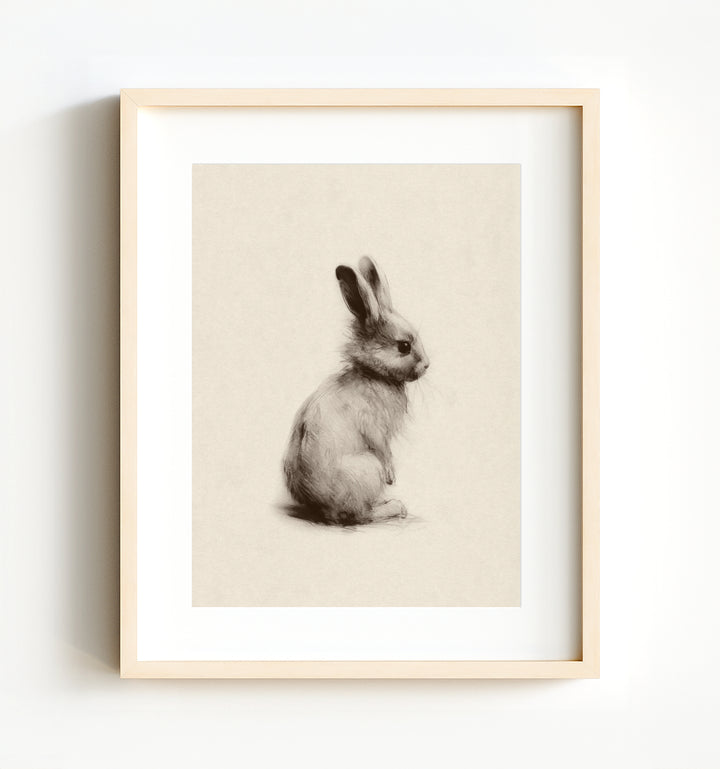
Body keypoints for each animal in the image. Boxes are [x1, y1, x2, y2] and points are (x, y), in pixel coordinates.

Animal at [283, 256, 430, 525]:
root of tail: (323, 508)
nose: (427, 365)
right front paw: (392, 476)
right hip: (368, 469)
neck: (374, 374)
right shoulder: (375, 427)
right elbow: (382, 447)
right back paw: (395, 507)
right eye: (404, 346)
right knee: (359, 515)